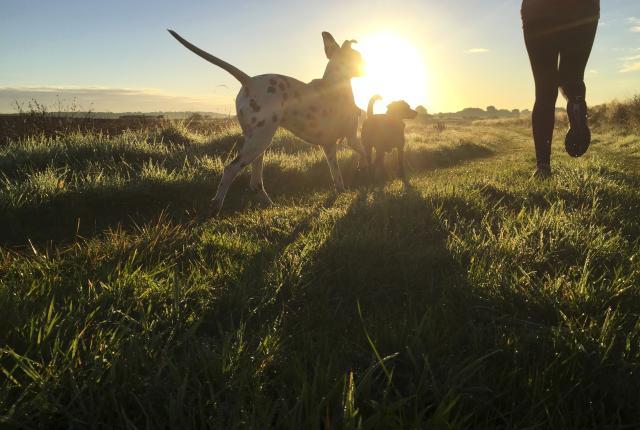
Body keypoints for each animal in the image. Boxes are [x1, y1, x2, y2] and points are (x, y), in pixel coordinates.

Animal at [166, 30, 364, 217]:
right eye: (358, 56)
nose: (366, 65)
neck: (335, 83)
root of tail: (250, 80)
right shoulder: (352, 139)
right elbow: (364, 154)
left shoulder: (329, 146)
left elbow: (337, 176)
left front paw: (342, 191)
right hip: (260, 140)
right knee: (230, 169)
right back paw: (216, 206)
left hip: (257, 142)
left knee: (255, 182)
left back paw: (270, 204)